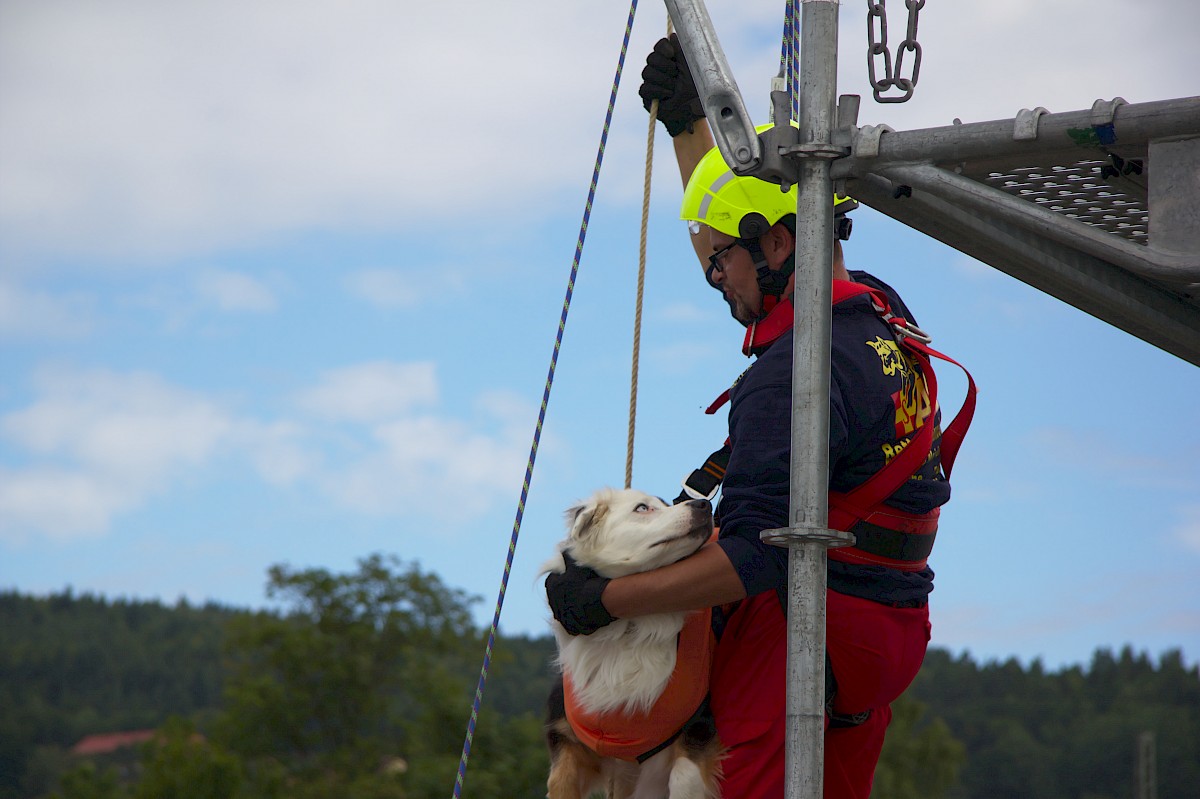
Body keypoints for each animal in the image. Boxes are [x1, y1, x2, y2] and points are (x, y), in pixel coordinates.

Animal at [544, 484, 720, 796]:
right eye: (642, 508)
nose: (704, 505)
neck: (628, 626)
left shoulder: (698, 724)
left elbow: (683, 776)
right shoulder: (565, 735)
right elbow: (560, 783)